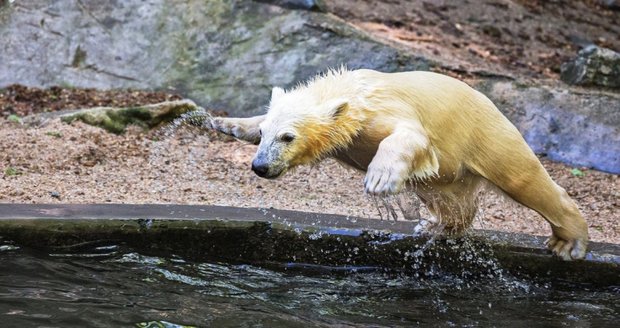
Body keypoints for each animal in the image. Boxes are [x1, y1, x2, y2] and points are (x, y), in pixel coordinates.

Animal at [207, 69, 588, 262]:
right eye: (266, 134)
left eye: (288, 137)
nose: (260, 167)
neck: (350, 90)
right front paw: (226, 123)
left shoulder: (382, 110)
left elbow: (410, 136)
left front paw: (380, 178)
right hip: (449, 175)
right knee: (447, 197)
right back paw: (436, 225)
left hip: (486, 135)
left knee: (522, 177)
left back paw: (569, 242)